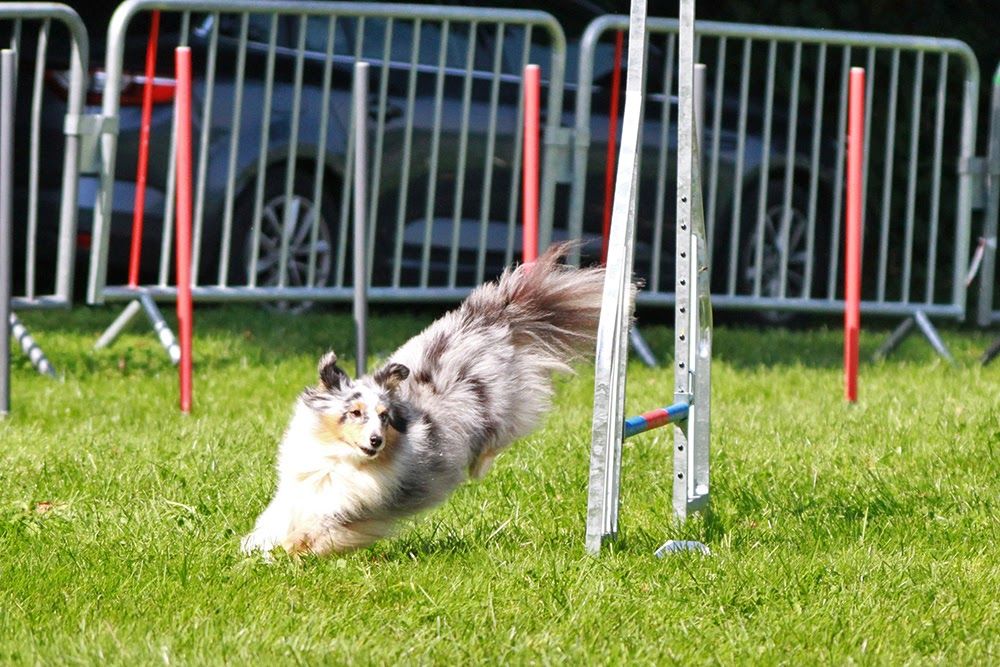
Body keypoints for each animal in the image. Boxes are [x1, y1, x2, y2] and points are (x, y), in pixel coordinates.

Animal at [240, 245, 616, 560]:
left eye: (384, 417)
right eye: (356, 413)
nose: (376, 441)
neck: (341, 460)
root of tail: (489, 319)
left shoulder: (355, 510)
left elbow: (320, 529)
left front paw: (292, 549)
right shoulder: (301, 487)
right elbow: (278, 516)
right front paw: (256, 544)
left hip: (502, 404)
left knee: (500, 435)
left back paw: (479, 465)